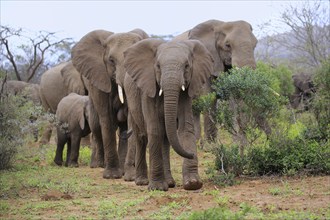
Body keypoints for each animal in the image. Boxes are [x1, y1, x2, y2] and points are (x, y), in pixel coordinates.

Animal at [72, 28, 150, 179]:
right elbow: (106, 118)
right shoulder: (100, 78)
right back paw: (99, 164)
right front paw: (112, 175)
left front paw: (130, 177)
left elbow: (131, 118)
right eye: (111, 60)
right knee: (96, 126)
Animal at [124, 38, 214, 190]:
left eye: (187, 66)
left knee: (165, 139)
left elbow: (186, 128)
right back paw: (142, 181)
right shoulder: (148, 88)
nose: (191, 154)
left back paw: (170, 183)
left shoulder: (186, 93)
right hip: (131, 101)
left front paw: (193, 184)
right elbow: (154, 130)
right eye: (158, 66)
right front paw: (157, 188)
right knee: (141, 137)